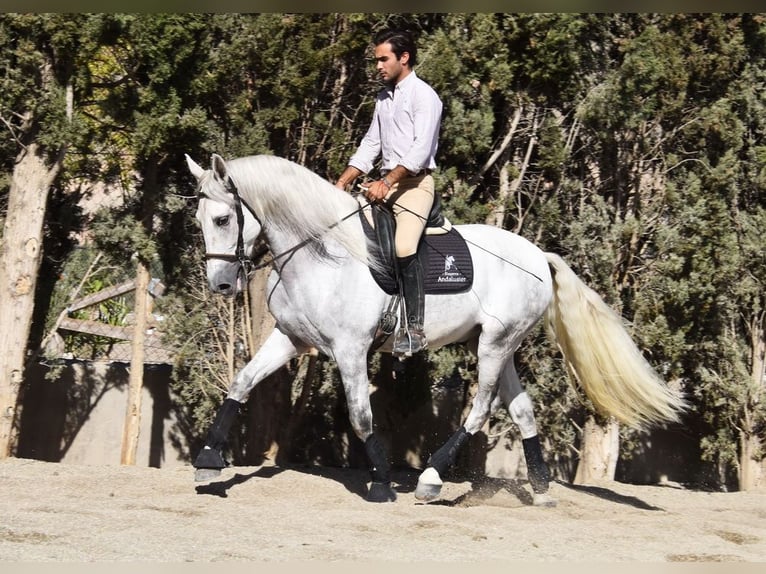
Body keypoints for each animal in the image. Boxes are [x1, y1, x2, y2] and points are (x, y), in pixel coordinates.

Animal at [185, 152, 688, 505]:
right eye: (199, 221)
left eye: (223, 218)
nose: (222, 285)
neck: (322, 252)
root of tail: (538, 256)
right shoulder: (290, 338)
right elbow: (241, 383)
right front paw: (208, 462)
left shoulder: (350, 350)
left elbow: (360, 417)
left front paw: (382, 484)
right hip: (500, 345)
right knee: (522, 411)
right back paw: (542, 489)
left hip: (494, 345)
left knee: (481, 410)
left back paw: (430, 478)